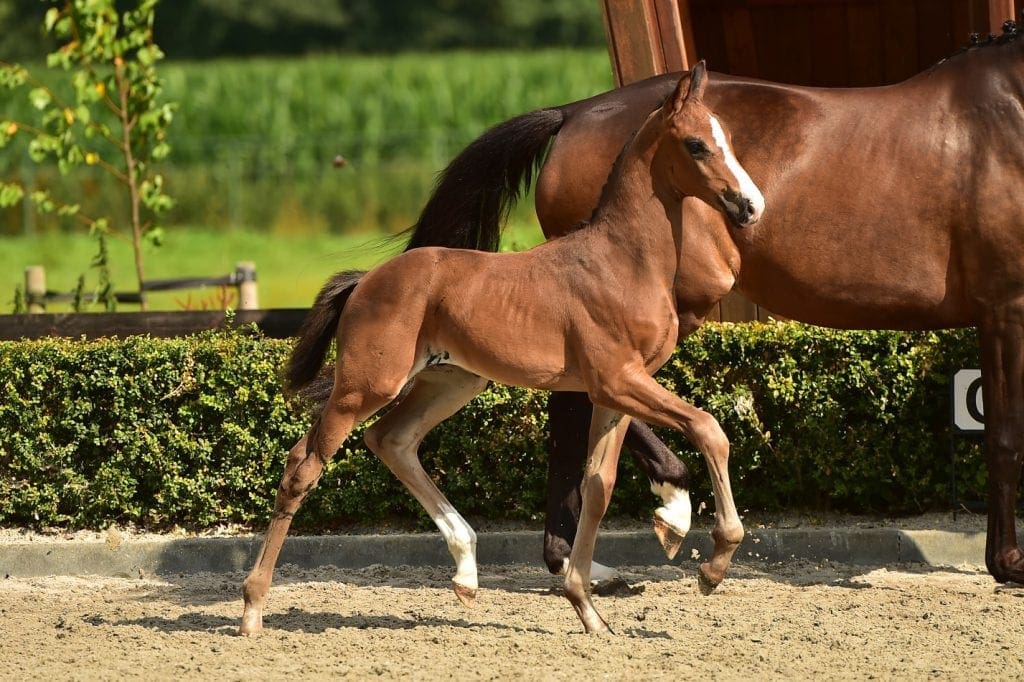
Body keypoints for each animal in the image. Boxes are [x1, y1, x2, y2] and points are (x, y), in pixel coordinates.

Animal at [240, 63, 765, 636]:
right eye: (696, 144)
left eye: (727, 138)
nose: (751, 205)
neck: (621, 261)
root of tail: (365, 281)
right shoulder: (618, 380)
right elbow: (708, 429)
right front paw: (713, 566)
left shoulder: (616, 392)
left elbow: (598, 487)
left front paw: (589, 610)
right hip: (366, 386)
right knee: (304, 465)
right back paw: (252, 608)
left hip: (452, 381)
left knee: (391, 440)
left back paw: (467, 571)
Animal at [399, 20, 1024, 586]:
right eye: (699, 145)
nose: (751, 205)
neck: (1008, 118)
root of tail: (575, 113)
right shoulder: (1004, 307)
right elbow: (1003, 435)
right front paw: (1007, 564)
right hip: (662, 305)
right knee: (588, 394)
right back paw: (668, 504)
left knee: (572, 399)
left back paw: (583, 561)